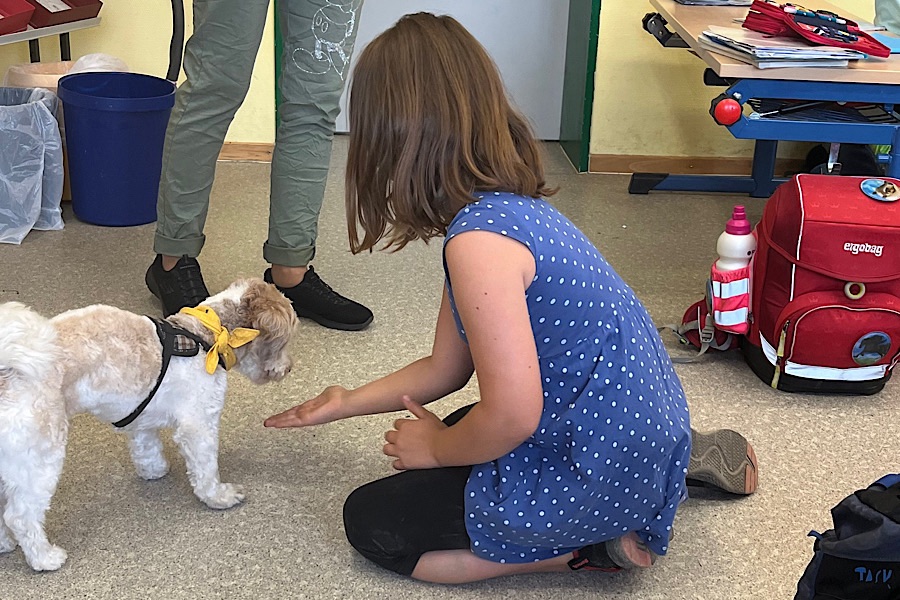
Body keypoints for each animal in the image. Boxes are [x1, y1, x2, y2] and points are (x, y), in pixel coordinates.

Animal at [0, 278, 298, 568]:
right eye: (285, 341)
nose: (288, 368)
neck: (206, 335)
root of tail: (9, 370)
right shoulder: (199, 425)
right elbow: (206, 471)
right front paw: (218, 496)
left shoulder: (141, 421)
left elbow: (147, 448)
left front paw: (154, 470)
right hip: (40, 459)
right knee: (20, 517)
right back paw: (44, 558)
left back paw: (4, 544)